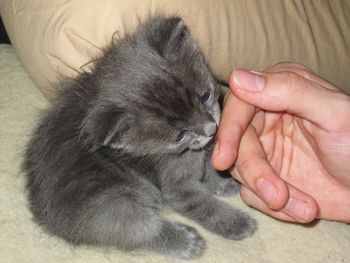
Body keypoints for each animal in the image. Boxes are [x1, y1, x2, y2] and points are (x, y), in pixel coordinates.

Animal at [23, 15, 256, 258]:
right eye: (179, 135)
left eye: (205, 96)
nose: (211, 129)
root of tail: (47, 215)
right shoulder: (176, 184)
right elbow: (201, 204)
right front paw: (236, 222)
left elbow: (208, 169)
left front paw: (222, 183)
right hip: (111, 202)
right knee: (136, 230)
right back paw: (184, 241)